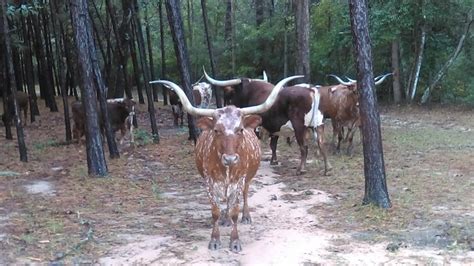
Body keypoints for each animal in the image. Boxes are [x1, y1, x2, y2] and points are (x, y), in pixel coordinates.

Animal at [150, 75, 302, 254]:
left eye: (240, 129)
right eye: (216, 130)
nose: (230, 159)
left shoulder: (239, 180)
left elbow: (235, 210)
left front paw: (235, 241)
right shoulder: (209, 182)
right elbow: (215, 211)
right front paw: (215, 239)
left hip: (247, 178)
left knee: (244, 194)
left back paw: (246, 216)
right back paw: (226, 219)